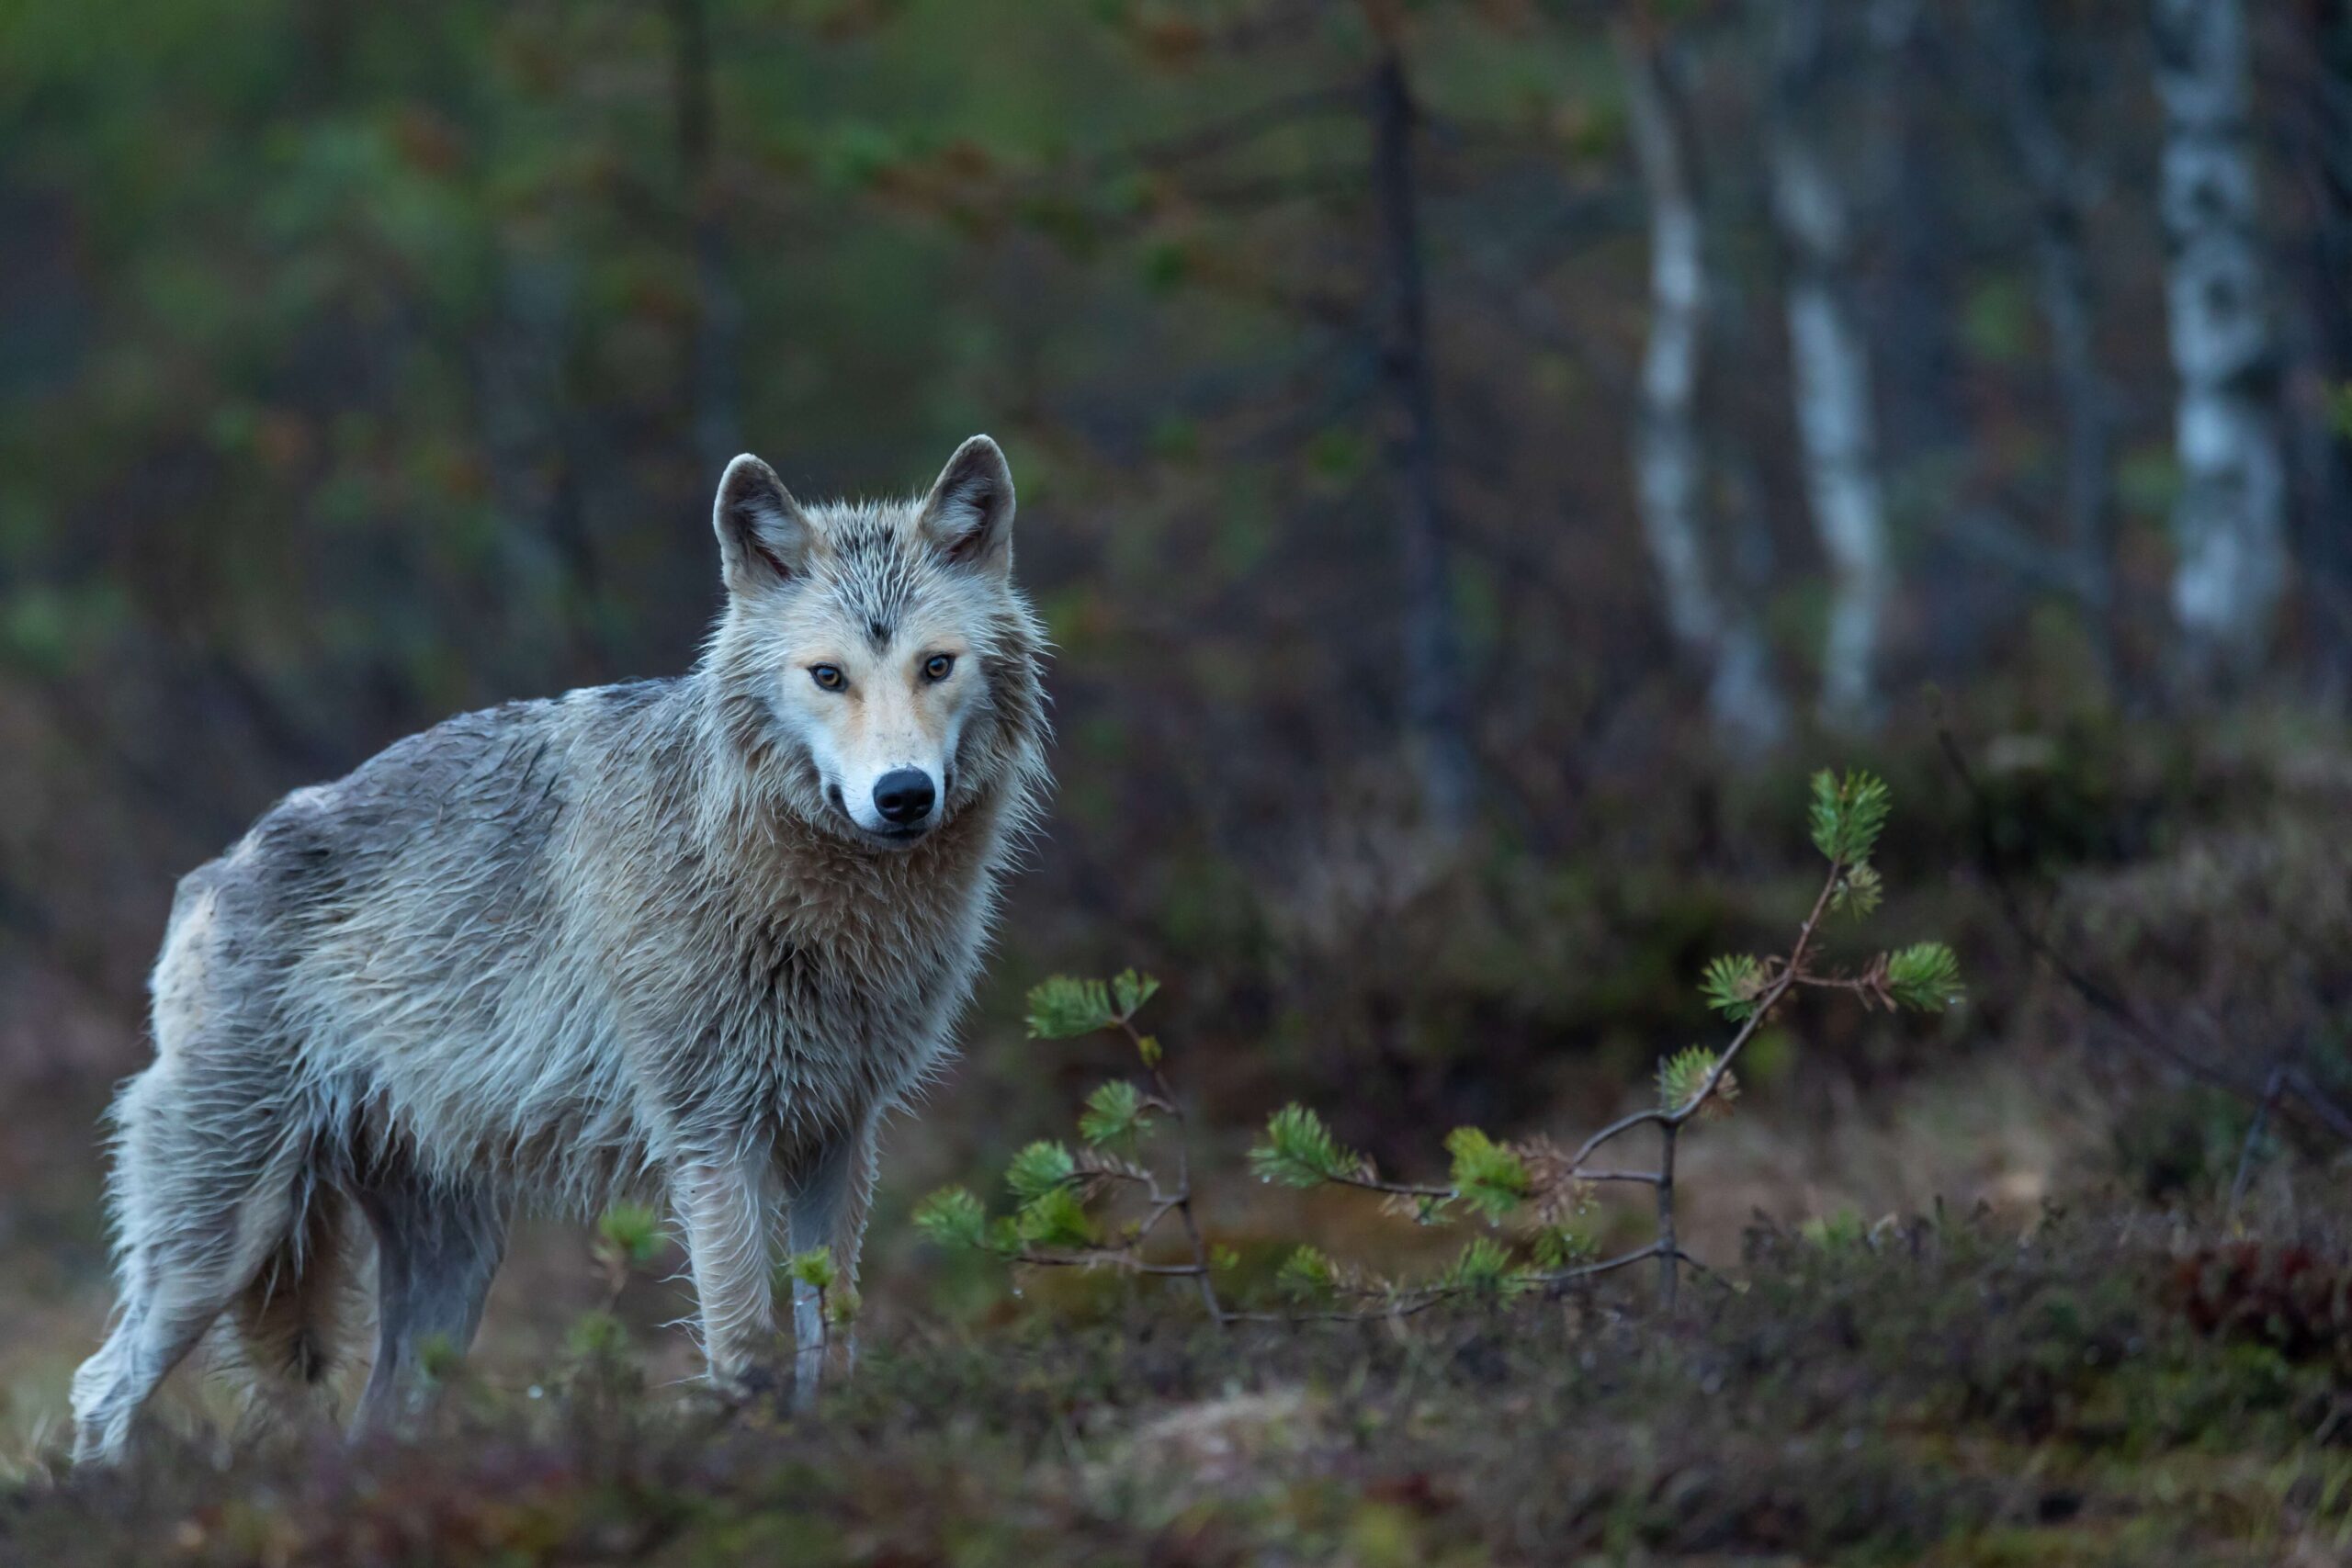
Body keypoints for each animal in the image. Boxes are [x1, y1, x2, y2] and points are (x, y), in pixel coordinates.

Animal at [71, 434, 1048, 1466]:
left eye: (936, 665)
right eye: (829, 677)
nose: (903, 794)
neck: (800, 893)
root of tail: (211, 872)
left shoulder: (840, 1135)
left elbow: (836, 1330)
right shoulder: (713, 1138)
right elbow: (745, 1344)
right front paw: (749, 1455)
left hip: (451, 1271)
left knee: (375, 1415)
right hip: (223, 1238)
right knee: (100, 1387)